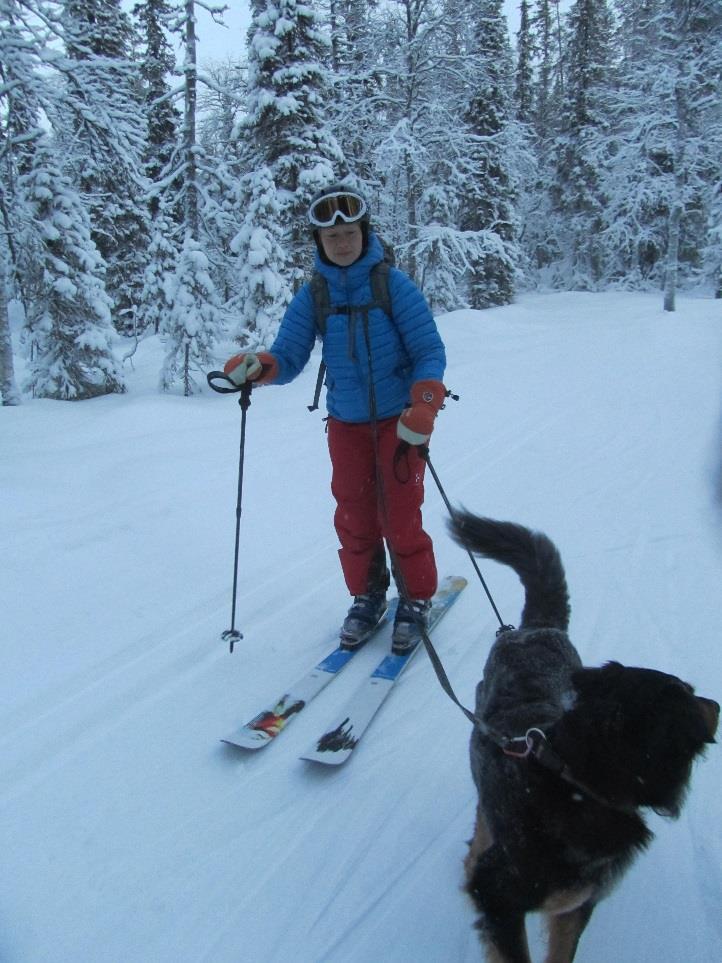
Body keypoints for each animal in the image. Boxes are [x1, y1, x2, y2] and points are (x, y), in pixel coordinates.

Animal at [448, 516, 716, 963]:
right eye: (689, 695)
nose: (717, 704)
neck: (575, 780)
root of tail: (532, 629)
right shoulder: (499, 897)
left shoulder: (574, 905)